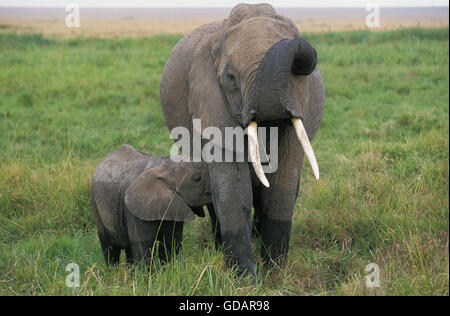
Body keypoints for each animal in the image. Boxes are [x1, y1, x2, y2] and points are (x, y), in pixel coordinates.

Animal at [160, 3, 326, 274]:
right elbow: (234, 191)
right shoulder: (212, 105)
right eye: (230, 77)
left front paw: (275, 271)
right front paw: (246, 276)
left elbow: (280, 188)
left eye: (297, 72)